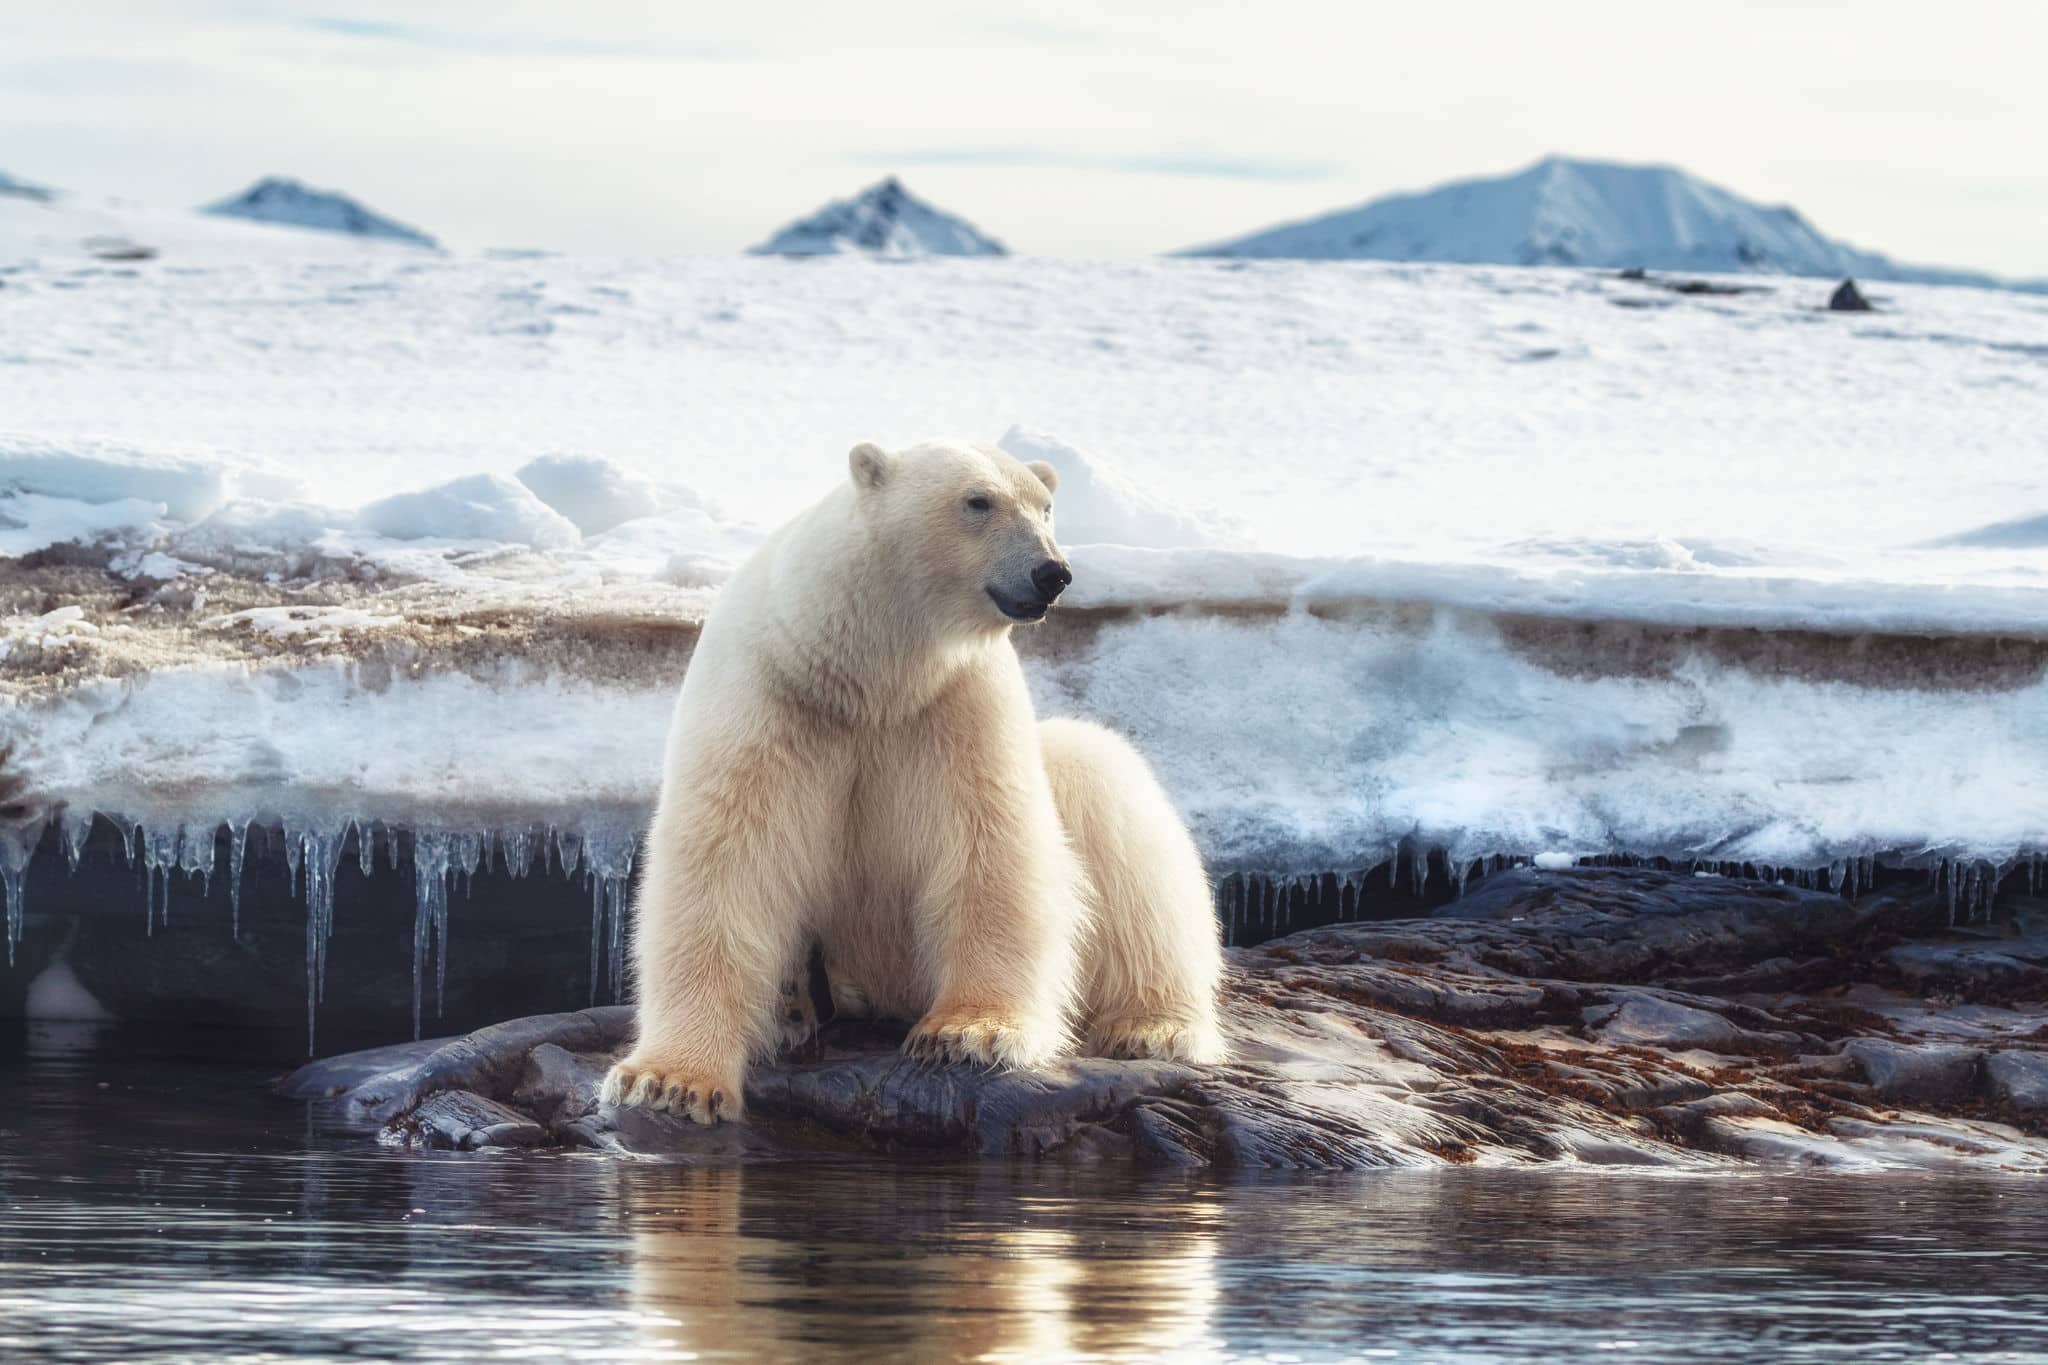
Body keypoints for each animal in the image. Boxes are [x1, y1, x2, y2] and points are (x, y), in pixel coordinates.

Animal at [601, 437, 1225, 1123]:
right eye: (978, 501)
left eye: (1047, 507)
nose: (1052, 573)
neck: (867, 674)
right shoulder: (770, 696)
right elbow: (727, 860)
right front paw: (668, 1082)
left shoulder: (957, 702)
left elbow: (990, 847)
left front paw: (970, 1032)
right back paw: (792, 1008)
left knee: (1114, 806)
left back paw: (1153, 1027)